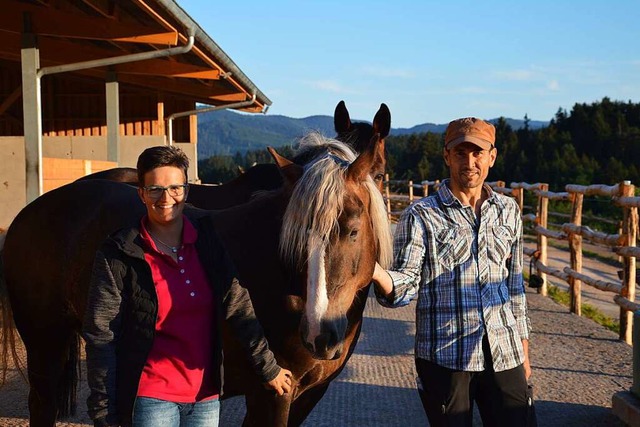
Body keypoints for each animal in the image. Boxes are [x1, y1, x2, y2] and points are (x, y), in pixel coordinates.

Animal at [0, 132, 392, 426]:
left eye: (353, 231)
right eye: (292, 237)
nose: (319, 334)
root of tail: (29, 212)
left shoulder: (309, 396)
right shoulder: (271, 396)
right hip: (44, 346)